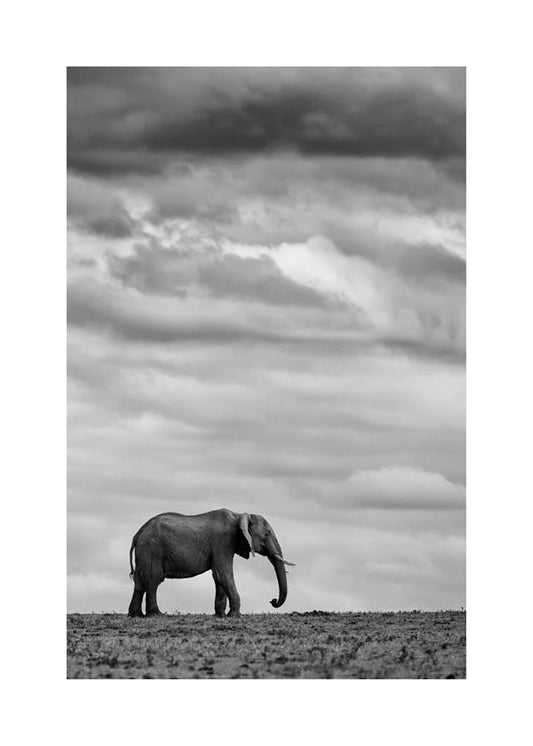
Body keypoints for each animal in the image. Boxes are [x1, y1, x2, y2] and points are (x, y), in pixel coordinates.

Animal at [127, 509, 295, 617]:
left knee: (139, 583)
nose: (272, 600)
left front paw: (220, 615)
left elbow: (218, 577)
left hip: (144, 551)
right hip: (152, 549)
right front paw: (235, 616)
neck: (239, 515)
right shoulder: (223, 541)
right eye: (266, 534)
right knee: (153, 580)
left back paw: (135, 615)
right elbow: (223, 574)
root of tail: (137, 533)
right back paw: (157, 615)